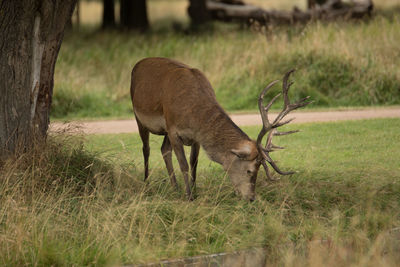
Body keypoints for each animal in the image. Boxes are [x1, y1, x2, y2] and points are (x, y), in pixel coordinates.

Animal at [130, 58, 310, 201]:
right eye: (249, 171)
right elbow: (184, 165)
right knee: (146, 149)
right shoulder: (173, 129)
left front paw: (195, 191)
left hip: (164, 130)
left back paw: (174, 187)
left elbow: (193, 162)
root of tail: (137, 64)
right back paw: (146, 183)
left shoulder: (196, 136)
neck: (193, 112)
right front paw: (189, 196)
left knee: (164, 149)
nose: (251, 198)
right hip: (139, 116)